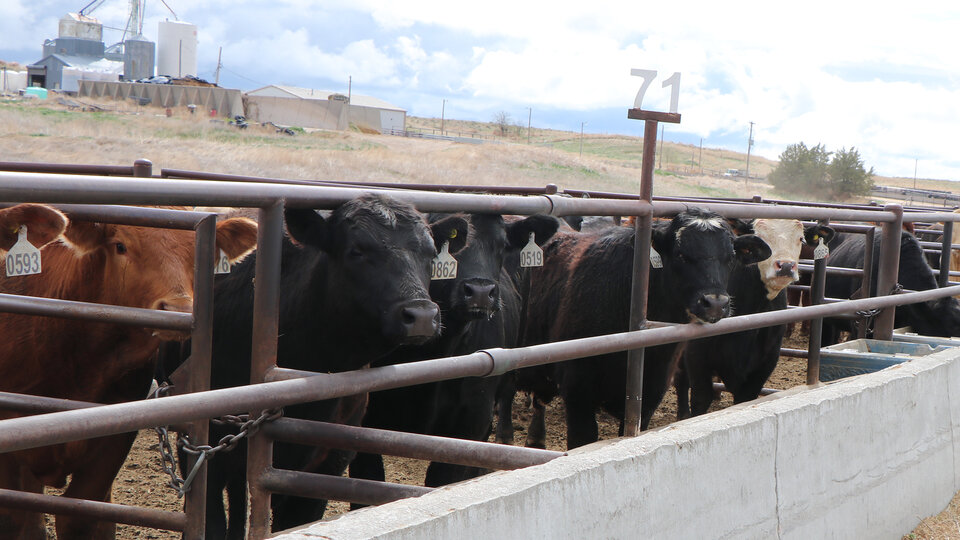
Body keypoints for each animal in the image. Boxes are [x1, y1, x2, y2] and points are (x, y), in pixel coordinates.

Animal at [0, 211, 258, 540]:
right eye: (120, 246)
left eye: (201, 255)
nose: (177, 309)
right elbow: (12, 517)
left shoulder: (114, 437)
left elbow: (82, 516)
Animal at [676, 219, 832, 418]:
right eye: (761, 239)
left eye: (801, 239)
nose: (786, 266)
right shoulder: (697, 357)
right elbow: (701, 399)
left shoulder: (764, 365)